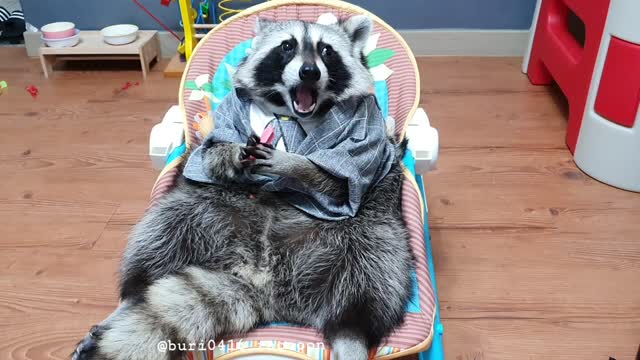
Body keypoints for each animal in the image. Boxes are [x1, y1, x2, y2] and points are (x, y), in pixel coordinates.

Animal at [72, 14, 416, 360]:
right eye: (287, 46)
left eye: (326, 50)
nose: (309, 71)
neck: (294, 114)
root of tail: (261, 281)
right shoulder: (227, 118)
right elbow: (211, 152)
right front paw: (232, 153)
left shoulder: (368, 136)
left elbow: (343, 179)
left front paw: (296, 164)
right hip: (206, 209)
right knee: (163, 234)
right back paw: (132, 295)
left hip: (369, 233)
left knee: (369, 282)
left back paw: (352, 337)